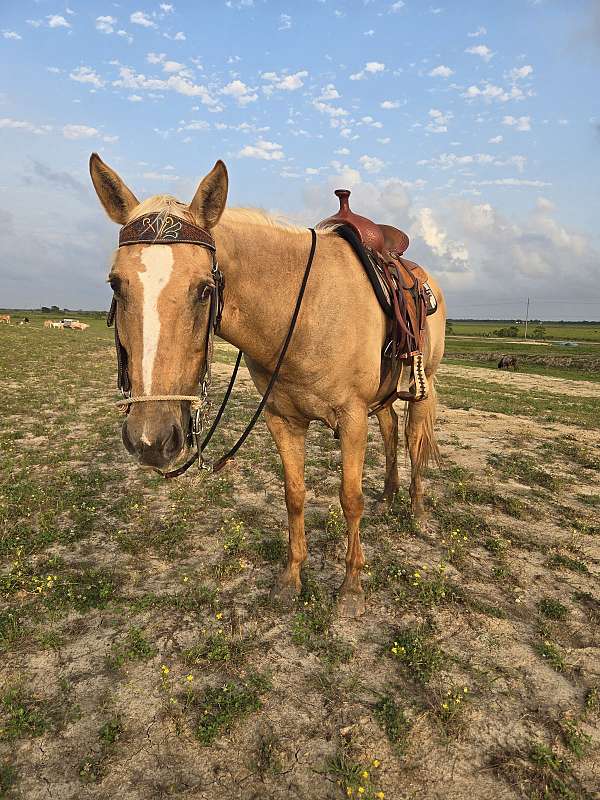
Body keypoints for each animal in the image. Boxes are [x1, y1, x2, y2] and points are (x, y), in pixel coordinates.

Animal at [89, 156, 446, 620]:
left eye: (204, 289)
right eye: (116, 284)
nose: (152, 438)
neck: (305, 306)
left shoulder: (351, 417)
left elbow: (350, 498)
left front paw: (351, 587)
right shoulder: (282, 419)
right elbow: (294, 494)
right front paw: (291, 579)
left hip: (424, 384)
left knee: (414, 440)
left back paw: (416, 511)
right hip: (381, 398)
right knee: (388, 430)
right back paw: (388, 496)